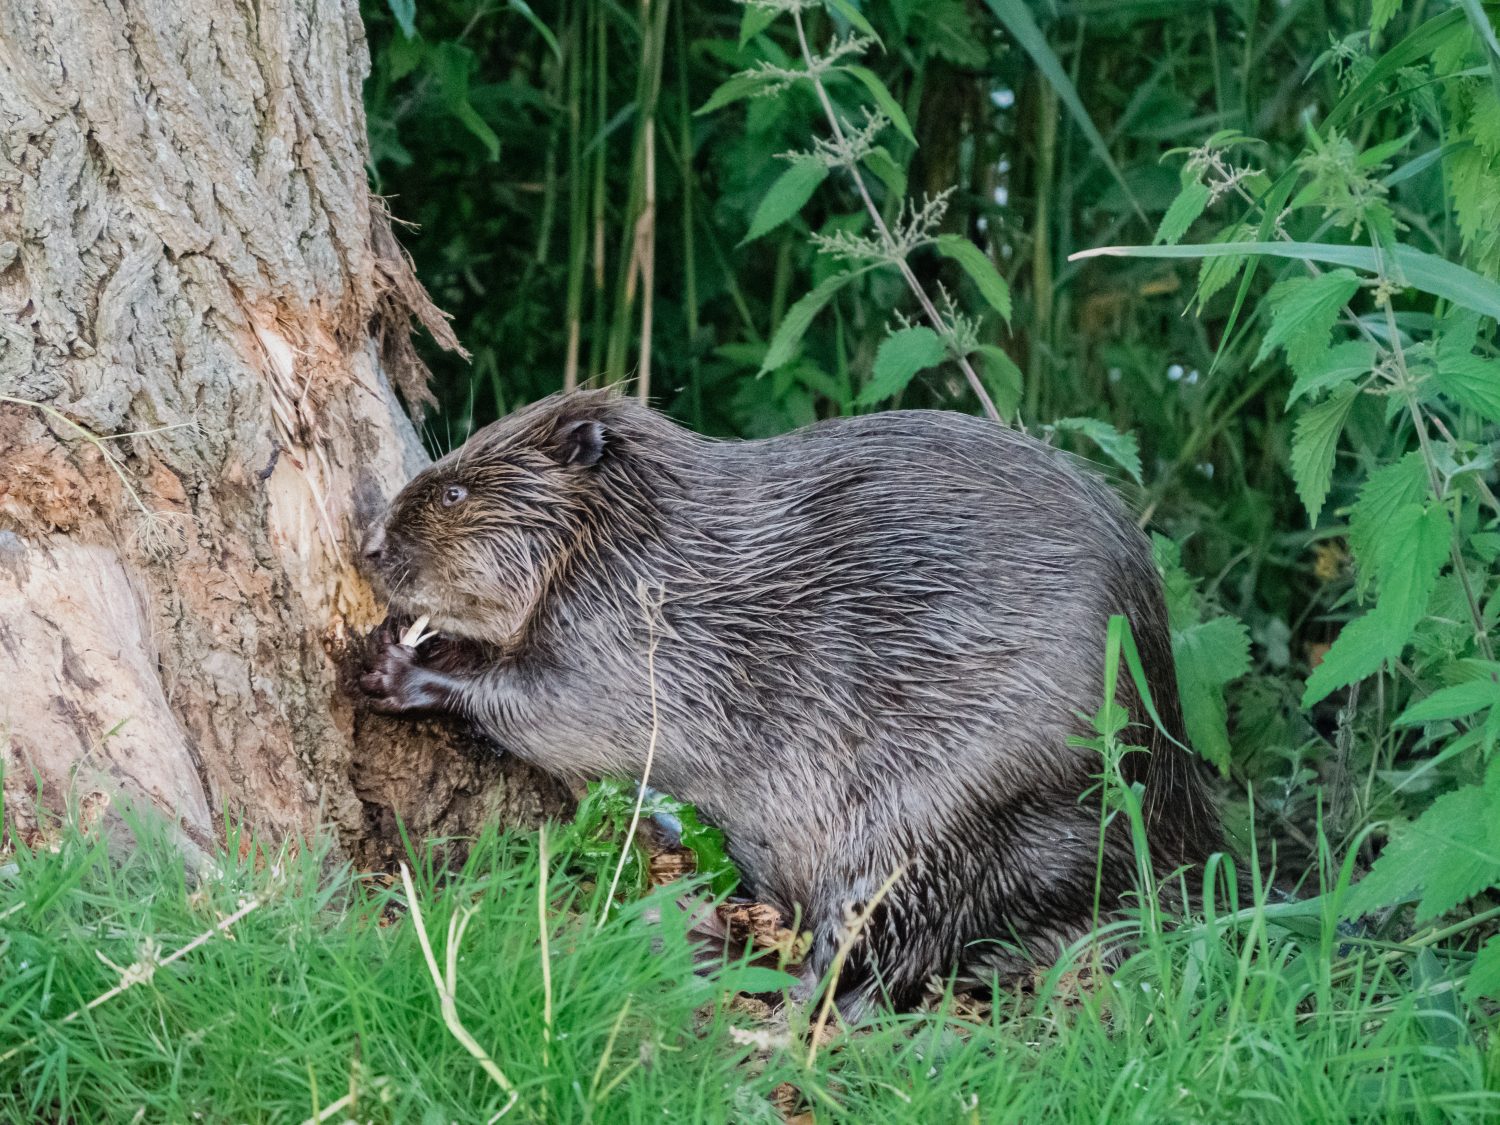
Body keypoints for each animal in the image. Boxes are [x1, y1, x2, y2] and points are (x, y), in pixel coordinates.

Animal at [357, 387, 1224, 1014]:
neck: (634, 534)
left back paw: (725, 963)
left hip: (955, 810)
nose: (368, 545)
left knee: (872, 959)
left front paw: (397, 665)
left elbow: (560, 707)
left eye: (455, 491)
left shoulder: (630, 628)